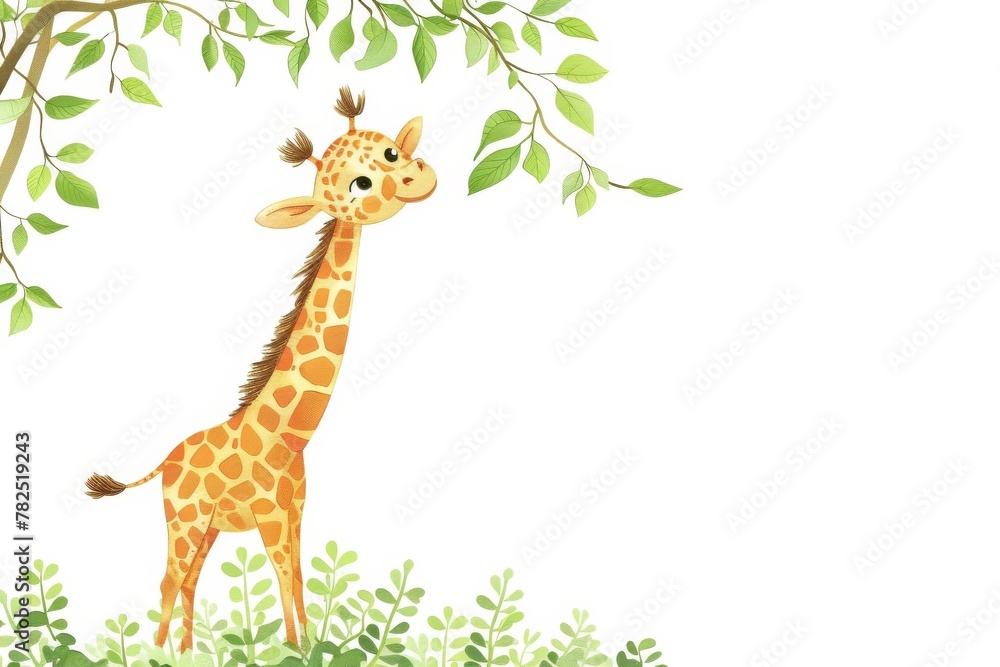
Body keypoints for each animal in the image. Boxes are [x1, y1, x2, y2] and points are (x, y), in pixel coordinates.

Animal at [83, 87, 437, 652]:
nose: (421, 176)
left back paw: (187, 654)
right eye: (359, 184)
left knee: (190, 579)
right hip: (183, 518)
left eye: (390, 151)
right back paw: (157, 655)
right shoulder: (270, 514)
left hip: (207, 526)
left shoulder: (296, 510)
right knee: (169, 579)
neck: (287, 434)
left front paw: (310, 647)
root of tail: (164, 463)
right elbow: (281, 576)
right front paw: (294, 649)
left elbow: (299, 576)